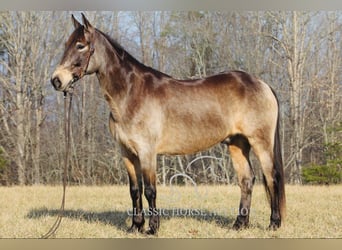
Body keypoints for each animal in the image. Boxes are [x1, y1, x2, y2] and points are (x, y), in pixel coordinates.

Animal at [51, 13, 286, 235]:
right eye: (67, 44)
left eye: (80, 45)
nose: (56, 80)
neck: (131, 94)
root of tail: (263, 84)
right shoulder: (127, 153)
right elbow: (134, 190)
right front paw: (135, 226)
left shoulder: (147, 152)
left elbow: (150, 190)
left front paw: (152, 228)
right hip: (237, 143)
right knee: (246, 180)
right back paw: (239, 224)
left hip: (260, 143)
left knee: (271, 177)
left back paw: (274, 224)